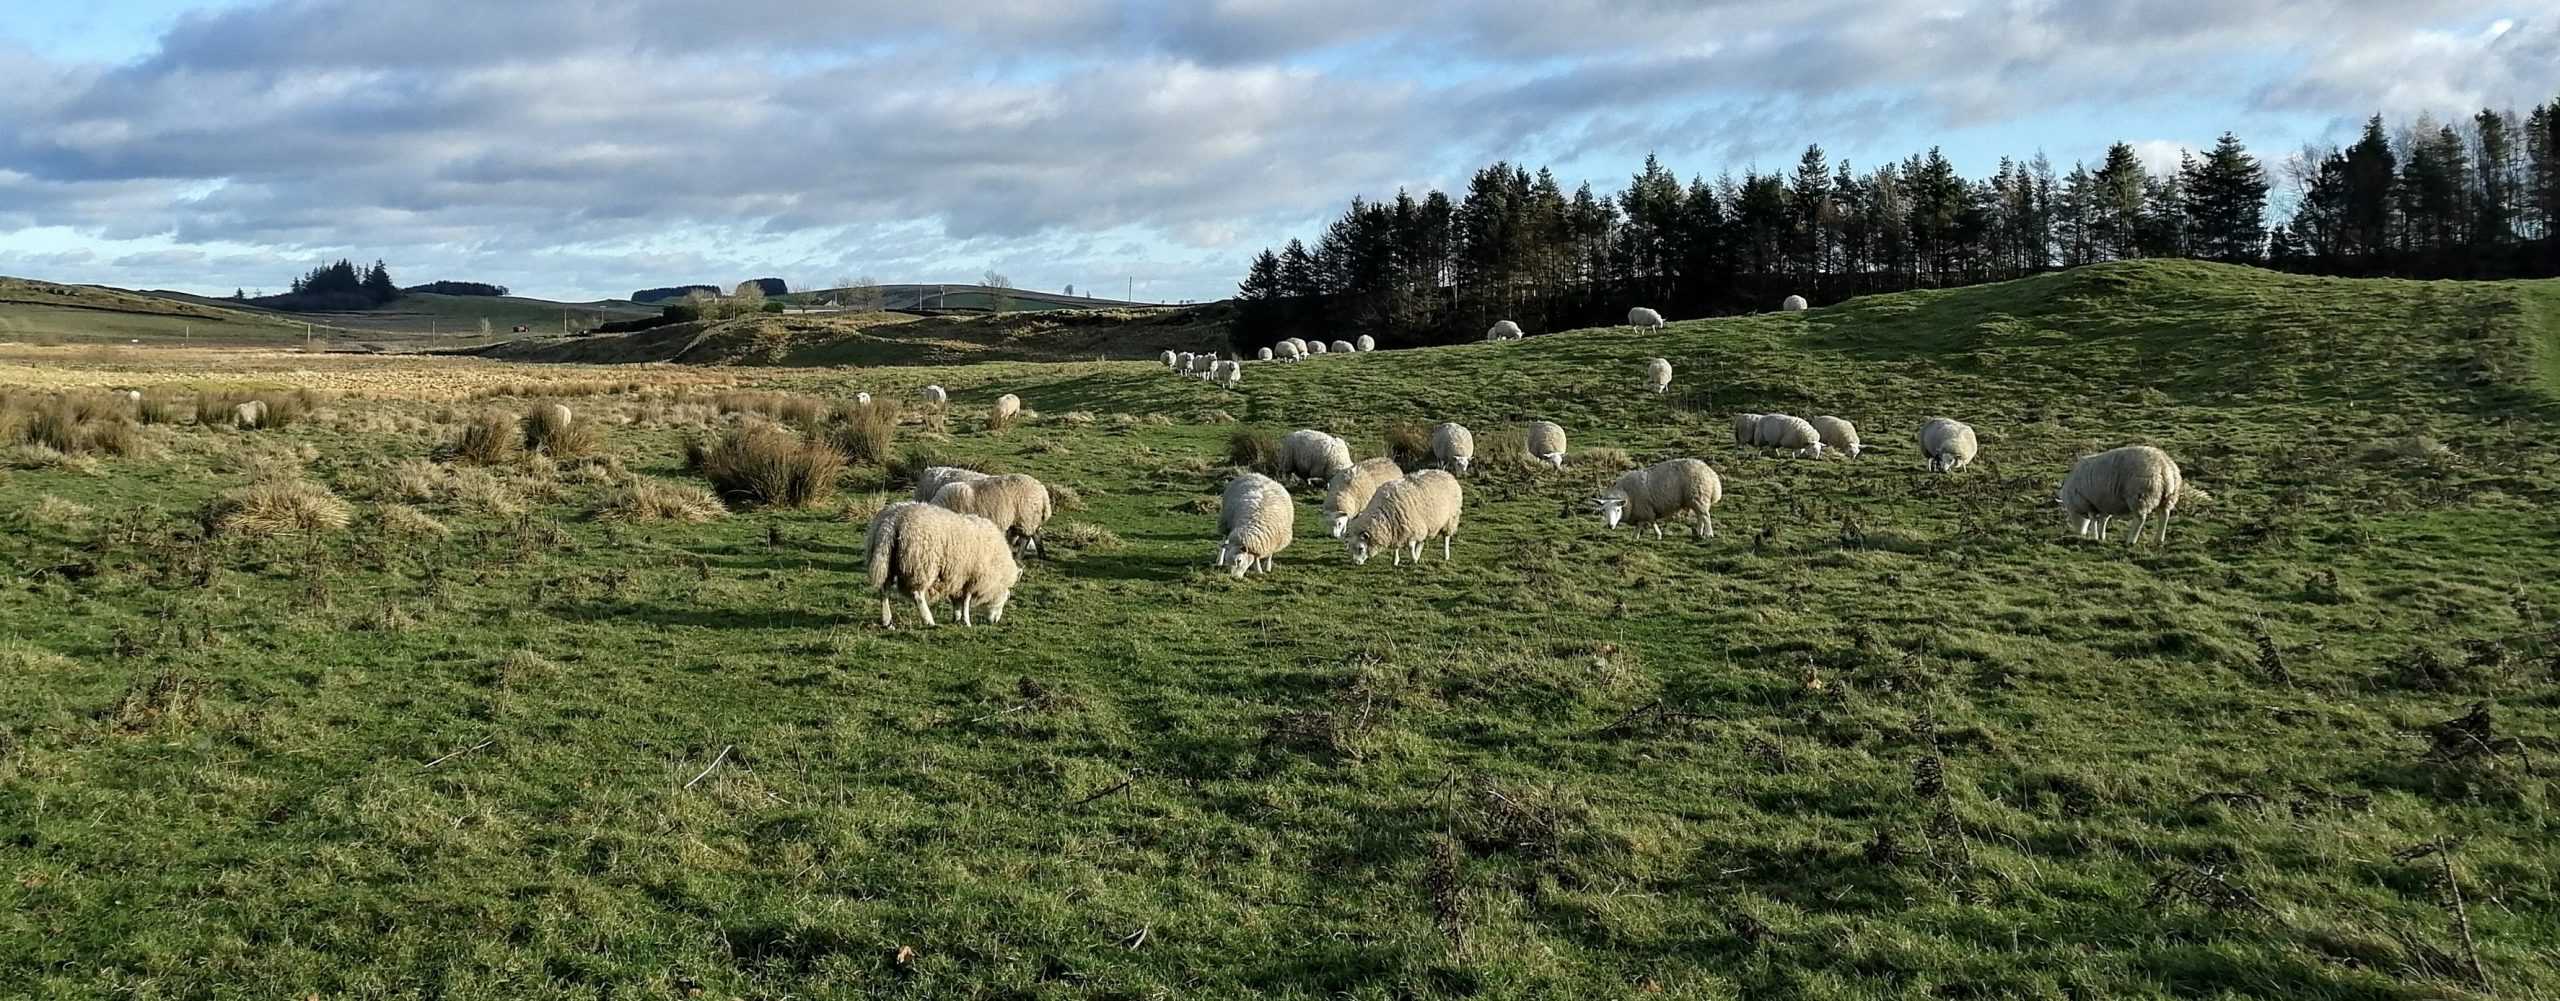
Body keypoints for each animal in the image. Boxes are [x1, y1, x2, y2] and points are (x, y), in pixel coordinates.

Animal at [860, 501, 1018, 627]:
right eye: (1006, 597)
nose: (995, 621)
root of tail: (892, 520)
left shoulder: (957, 577)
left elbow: (957, 600)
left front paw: (956, 618)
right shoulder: (972, 576)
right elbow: (966, 601)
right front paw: (966, 621)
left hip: (887, 562)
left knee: (884, 591)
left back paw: (887, 621)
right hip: (921, 564)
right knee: (917, 595)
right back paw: (928, 620)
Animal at [1587, 460, 1730, 540]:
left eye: (1617, 510)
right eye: (1603, 510)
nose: (1610, 526)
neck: (1628, 495)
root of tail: (1711, 474)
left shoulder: (1646, 508)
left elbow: (1651, 521)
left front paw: (1658, 535)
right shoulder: (1640, 511)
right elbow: (1640, 524)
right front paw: (1635, 537)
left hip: (1698, 495)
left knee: (1705, 516)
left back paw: (1708, 534)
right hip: (1694, 499)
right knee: (1700, 515)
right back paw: (1699, 533)